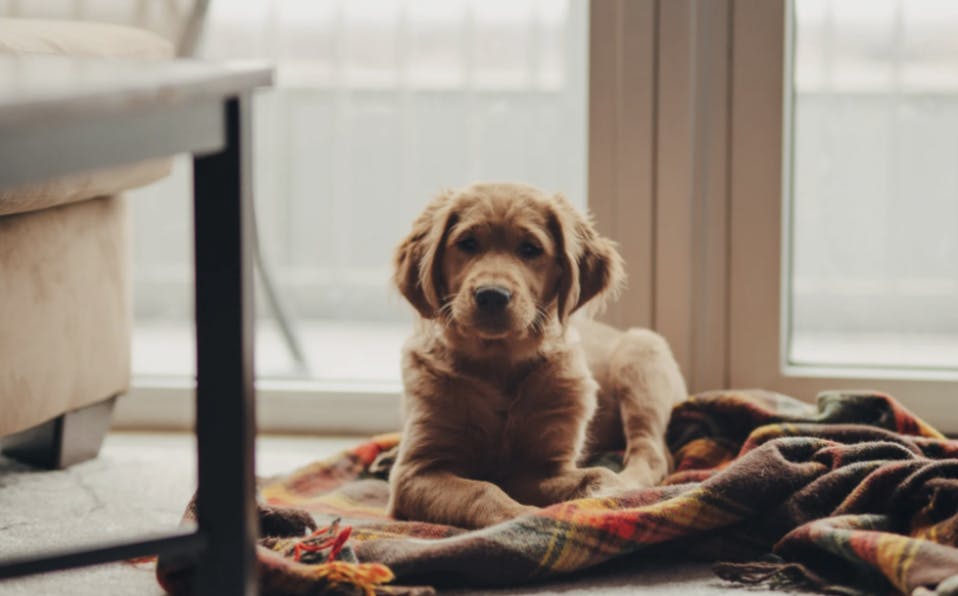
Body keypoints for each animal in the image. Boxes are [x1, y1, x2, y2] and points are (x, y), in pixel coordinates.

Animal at [386, 182, 688, 528]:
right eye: (467, 243)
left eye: (530, 249)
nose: (492, 295)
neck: (498, 363)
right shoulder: (415, 471)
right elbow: (481, 490)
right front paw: (520, 516)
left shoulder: (542, 467)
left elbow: (595, 474)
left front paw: (608, 493)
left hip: (641, 357)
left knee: (652, 451)